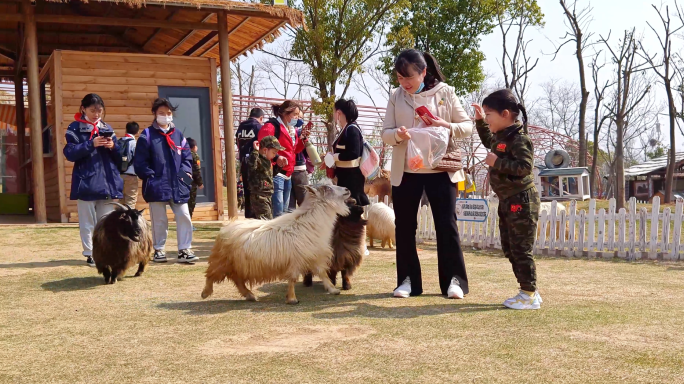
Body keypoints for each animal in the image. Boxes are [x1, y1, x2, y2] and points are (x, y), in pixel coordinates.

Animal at [202, 184, 352, 304]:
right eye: (327, 188)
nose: (347, 189)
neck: (308, 222)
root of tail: (227, 226)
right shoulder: (296, 260)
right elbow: (292, 279)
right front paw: (292, 299)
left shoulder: (315, 255)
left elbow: (323, 273)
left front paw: (333, 290)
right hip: (222, 261)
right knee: (210, 275)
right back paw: (205, 293)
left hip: (238, 265)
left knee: (237, 281)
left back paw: (250, 295)